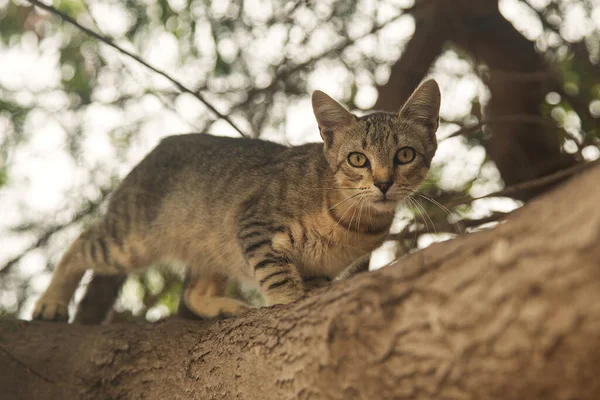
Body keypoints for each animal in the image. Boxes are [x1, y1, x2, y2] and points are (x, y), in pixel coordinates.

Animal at [32, 80, 440, 322]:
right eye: (358, 159)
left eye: (405, 155)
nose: (384, 183)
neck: (355, 222)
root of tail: (160, 145)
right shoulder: (254, 225)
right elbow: (278, 275)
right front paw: (287, 300)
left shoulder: (320, 271)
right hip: (132, 238)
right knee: (79, 243)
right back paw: (51, 302)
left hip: (211, 242)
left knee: (192, 293)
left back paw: (225, 305)